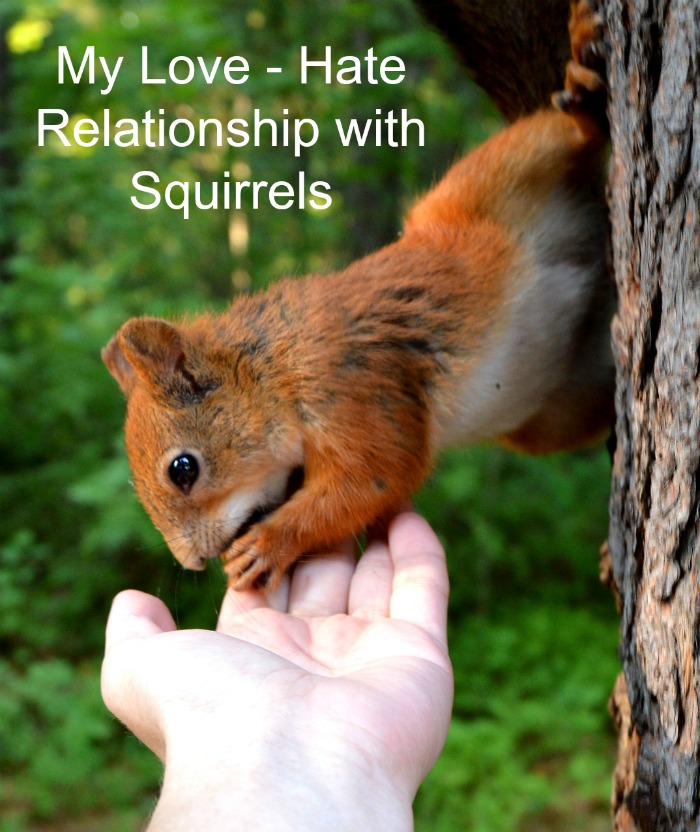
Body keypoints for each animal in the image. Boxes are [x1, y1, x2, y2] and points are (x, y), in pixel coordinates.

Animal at [103, 0, 613, 590]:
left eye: (183, 469)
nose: (192, 562)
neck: (273, 368)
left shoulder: (350, 385)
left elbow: (374, 476)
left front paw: (270, 543)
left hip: (497, 175)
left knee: (570, 130)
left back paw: (579, 78)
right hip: (556, 411)